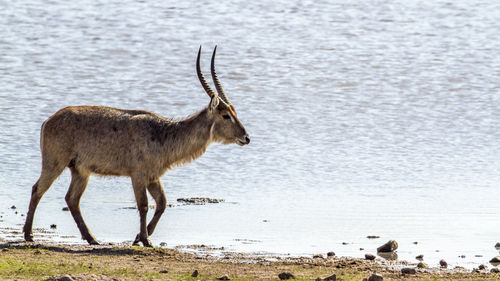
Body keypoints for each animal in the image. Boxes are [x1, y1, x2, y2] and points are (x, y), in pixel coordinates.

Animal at [23, 46, 250, 245]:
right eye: (225, 115)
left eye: (235, 111)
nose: (246, 137)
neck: (163, 133)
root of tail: (48, 120)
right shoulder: (138, 176)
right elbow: (143, 206)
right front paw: (145, 240)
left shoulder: (153, 177)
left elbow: (162, 203)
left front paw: (139, 237)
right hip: (55, 163)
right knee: (38, 189)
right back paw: (29, 235)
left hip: (80, 171)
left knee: (71, 199)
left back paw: (92, 238)